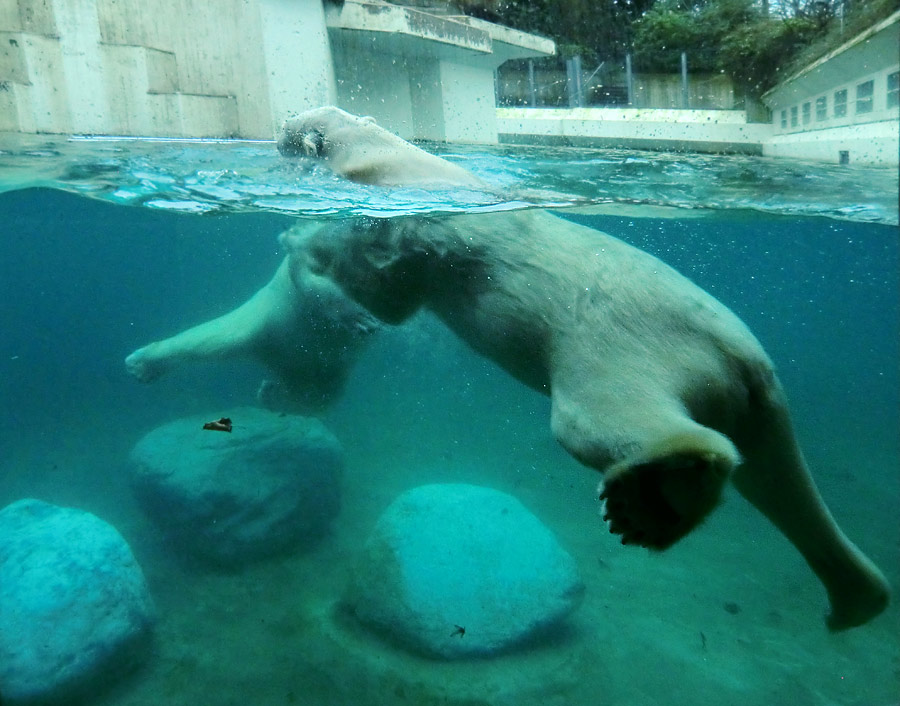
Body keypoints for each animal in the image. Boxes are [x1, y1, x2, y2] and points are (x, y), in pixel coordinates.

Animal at [125, 107, 884, 628]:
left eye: (300, 121)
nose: (281, 129)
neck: (395, 161)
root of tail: (746, 358)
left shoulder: (396, 207)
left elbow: (381, 280)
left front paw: (310, 245)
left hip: (614, 348)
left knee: (607, 422)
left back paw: (657, 500)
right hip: (750, 401)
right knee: (779, 481)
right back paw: (856, 595)